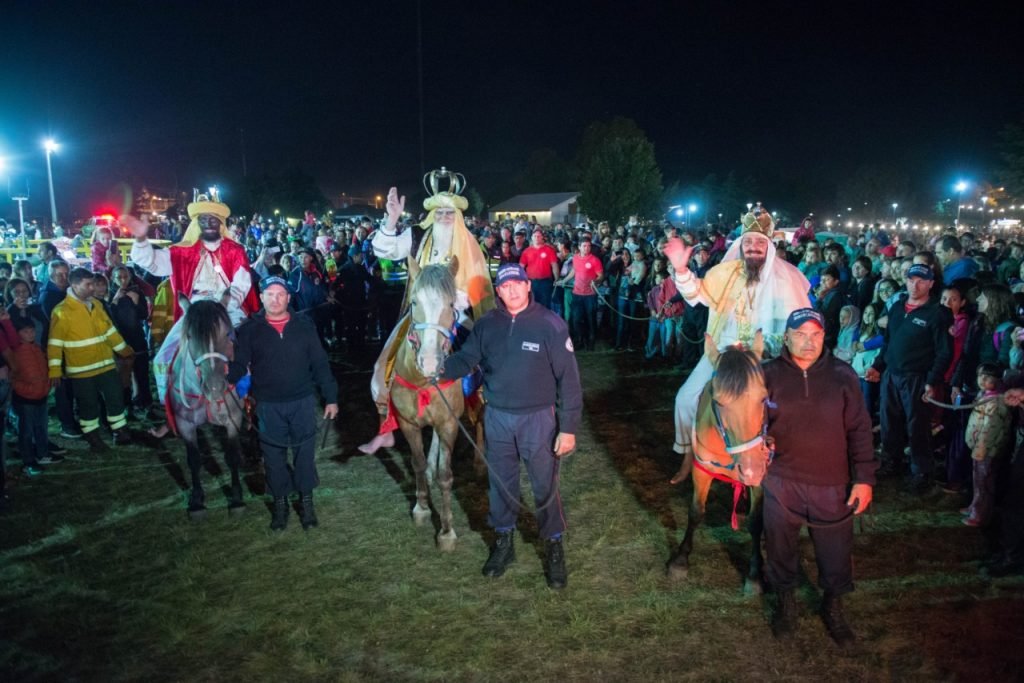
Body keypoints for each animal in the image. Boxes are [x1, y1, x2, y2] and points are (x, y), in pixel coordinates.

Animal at [168, 296, 248, 520]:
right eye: (189, 336)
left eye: (227, 334)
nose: (215, 387)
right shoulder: (184, 424)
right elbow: (194, 460)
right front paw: (196, 501)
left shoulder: (233, 419)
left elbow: (232, 456)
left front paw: (237, 499)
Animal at [667, 329, 770, 593]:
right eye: (719, 402)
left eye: (763, 398)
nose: (751, 469)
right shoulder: (702, 471)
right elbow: (696, 511)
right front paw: (680, 560)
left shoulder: (761, 479)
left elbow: (756, 522)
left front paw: (755, 574)